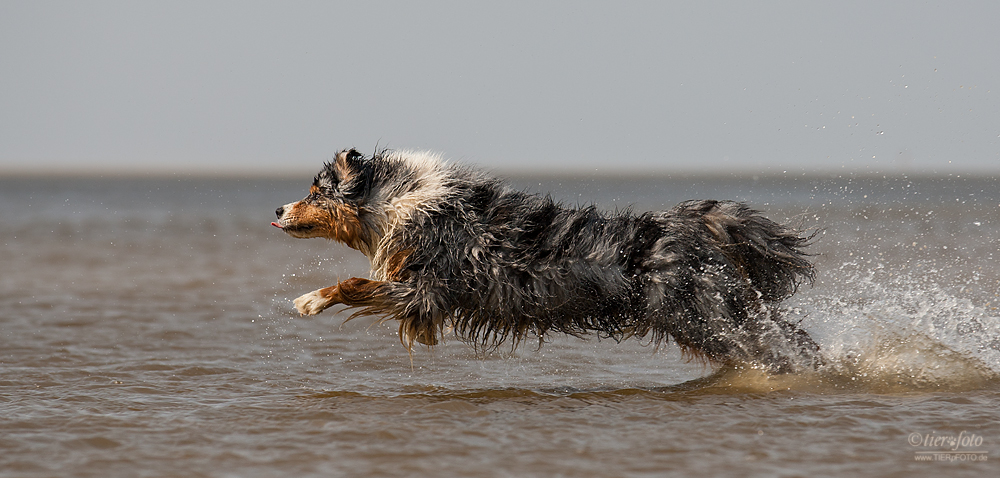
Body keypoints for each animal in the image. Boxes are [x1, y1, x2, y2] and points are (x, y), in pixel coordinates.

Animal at [272, 148, 820, 372]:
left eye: (316, 193)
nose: (276, 209)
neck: (399, 202)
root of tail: (693, 226)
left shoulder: (423, 291)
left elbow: (349, 284)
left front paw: (307, 301)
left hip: (702, 317)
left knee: (777, 347)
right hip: (725, 311)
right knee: (792, 339)